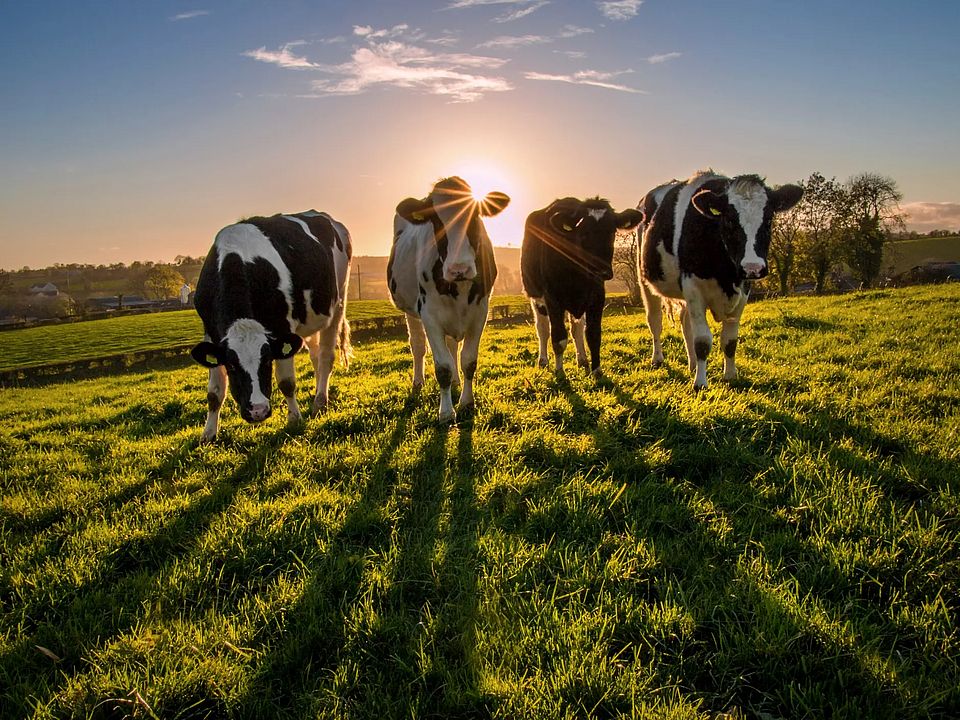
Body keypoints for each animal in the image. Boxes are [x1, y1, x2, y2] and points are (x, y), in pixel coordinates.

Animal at [189, 211, 350, 442]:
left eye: (266, 361)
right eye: (231, 366)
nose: (258, 411)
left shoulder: (283, 328)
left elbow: (286, 382)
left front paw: (294, 419)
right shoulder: (211, 333)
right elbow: (214, 392)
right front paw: (208, 434)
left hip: (338, 301)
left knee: (326, 356)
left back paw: (320, 401)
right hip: (310, 318)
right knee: (315, 355)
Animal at [388, 176, 512, 422]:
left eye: (476, 216)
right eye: (436, 221)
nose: (459, 269)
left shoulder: (480, 312)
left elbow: (468, 360)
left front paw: (467, 402)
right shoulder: (429, 315)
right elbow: (442, 367)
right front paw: (446, 412)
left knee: (453, 345)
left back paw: (455, 381)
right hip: (410, 310)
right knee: (418, 346)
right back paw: (418, 382)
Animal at [520, 198, 640, 376]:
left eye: (612, 232)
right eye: (584, 232)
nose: (602, 270)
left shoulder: (596, 297)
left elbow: (593, 335)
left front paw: (597, 371)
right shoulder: (553, 299)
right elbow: (558, 338)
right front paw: (560, 372)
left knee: (576, 329)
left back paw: (582, 360)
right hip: (536, 297)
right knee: (542, 330)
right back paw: (543, 361)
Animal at [636, 172, 804, 390]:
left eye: (768, 220)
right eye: (730, 220)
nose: (753, 267)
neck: (726, 275)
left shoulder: (743, 290)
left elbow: (730, 340)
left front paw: (730, 375)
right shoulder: (693, 287)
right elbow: (702, 341)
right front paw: (700, 383)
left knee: (685, 323)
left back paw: (692, 364)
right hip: (645, 281)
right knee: (655, 321)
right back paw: (658, 358)